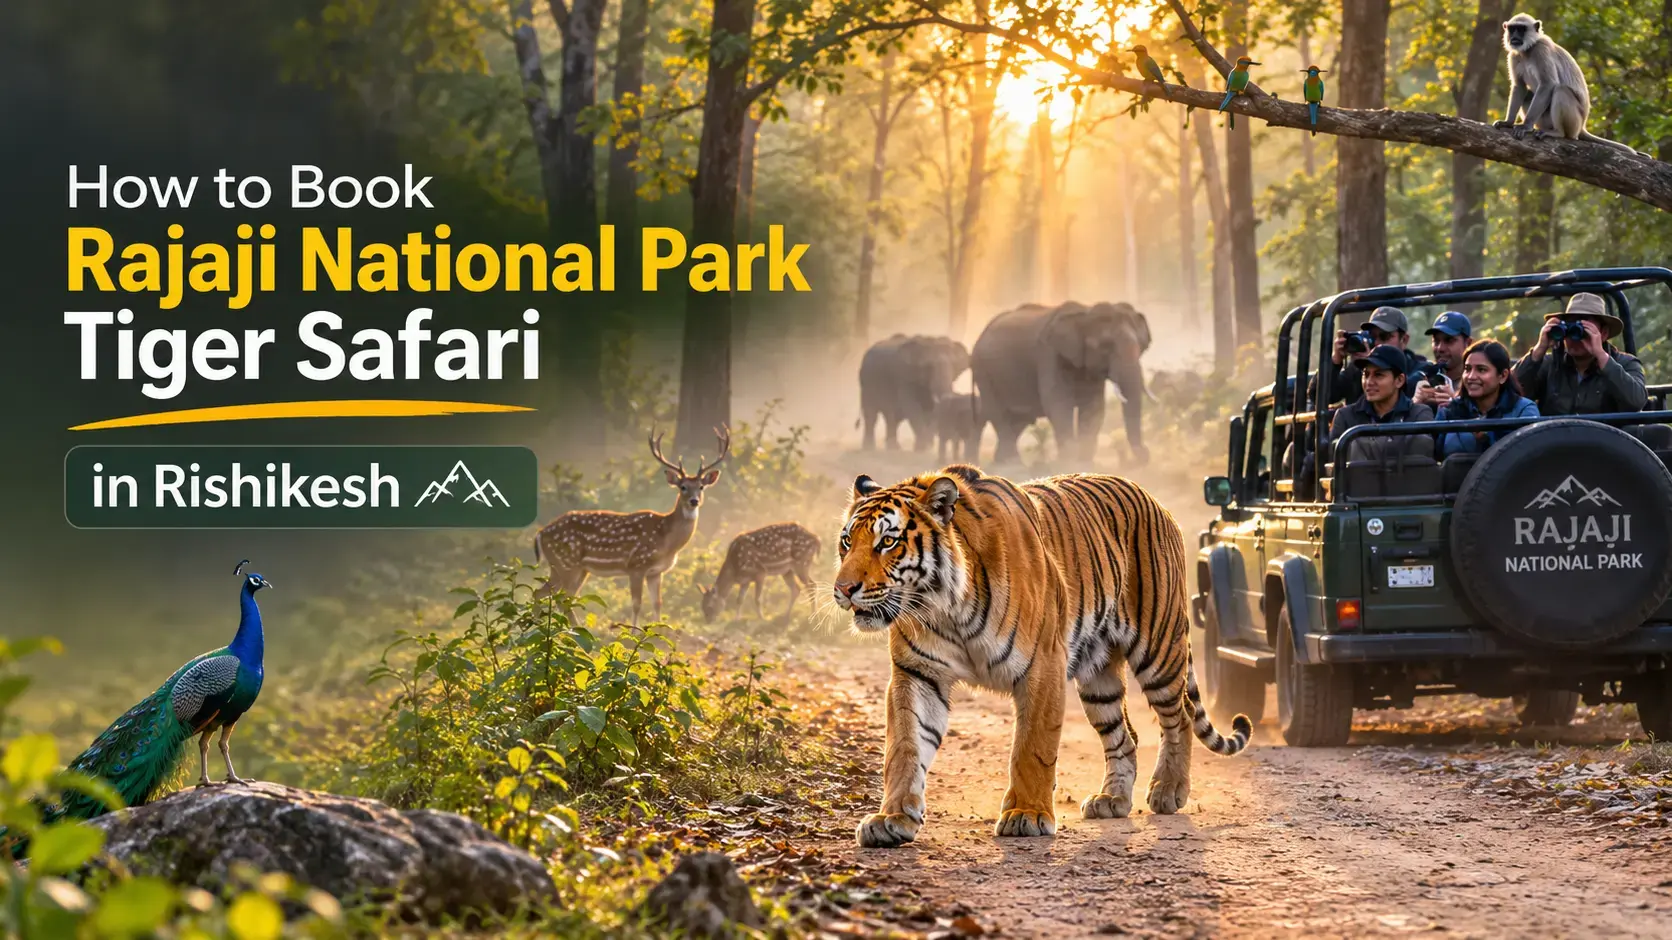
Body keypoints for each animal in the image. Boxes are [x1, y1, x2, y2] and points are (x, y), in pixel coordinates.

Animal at [832, 464, 1252, 848]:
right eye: (847, 541)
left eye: (888, 542)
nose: (844, 589)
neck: (944, 608)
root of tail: (1155, 500)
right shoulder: (917, 673)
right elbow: (904, 747)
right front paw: (893, 819)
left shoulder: (1042, 665)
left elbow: (1032, 747)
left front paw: (1027, 815)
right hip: (1098, 676)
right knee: (1125, 735)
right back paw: (1112, 799)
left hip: (1158, 649)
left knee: (1180, 717)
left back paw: (1168, 790)